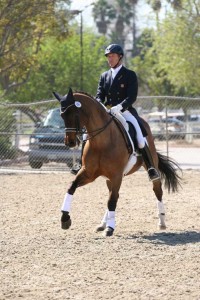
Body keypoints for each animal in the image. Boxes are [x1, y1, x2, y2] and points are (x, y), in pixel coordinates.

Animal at [53, 88, 181, 236]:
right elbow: (71, 188)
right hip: (109, 178)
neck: (101, 142)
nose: (70, 142)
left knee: (157, 190)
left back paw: (162, 221)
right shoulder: (89, 173)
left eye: (74, 114)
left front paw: (110, 228)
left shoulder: (116, 175)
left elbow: (112, 201)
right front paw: (65, 219)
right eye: (62, 115)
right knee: (112, 194)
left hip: (149, 165)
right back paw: (102, 224)